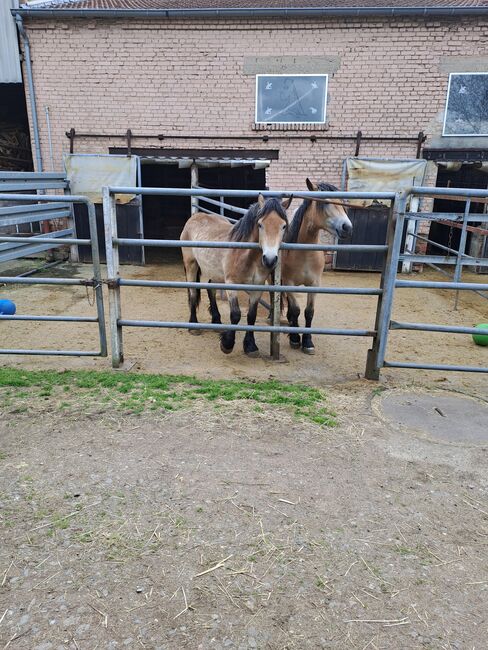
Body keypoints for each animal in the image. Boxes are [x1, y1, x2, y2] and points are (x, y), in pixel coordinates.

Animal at [182, 195, 290, 356]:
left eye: (283, 226)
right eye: (260, 225)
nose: (270, 260)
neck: (245, 254)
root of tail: (195, 216)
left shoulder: (257, 287)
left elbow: (251, 315)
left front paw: (250, 346)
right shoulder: (231, 284)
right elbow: (236, 314)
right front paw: (227, 344)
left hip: (214, 272)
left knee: (210, 289)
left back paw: (216, 321)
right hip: (191, 265)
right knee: (193, 293)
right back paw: (193, 325)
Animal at [280, 177, 352, 354]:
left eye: (342, 203)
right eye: (324, 203)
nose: (347, 227)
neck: (304, 254)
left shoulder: (315, 284)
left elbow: (309, 312)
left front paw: (307, 342)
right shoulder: (288, 283)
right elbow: (296, 310)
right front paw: (294, 338)